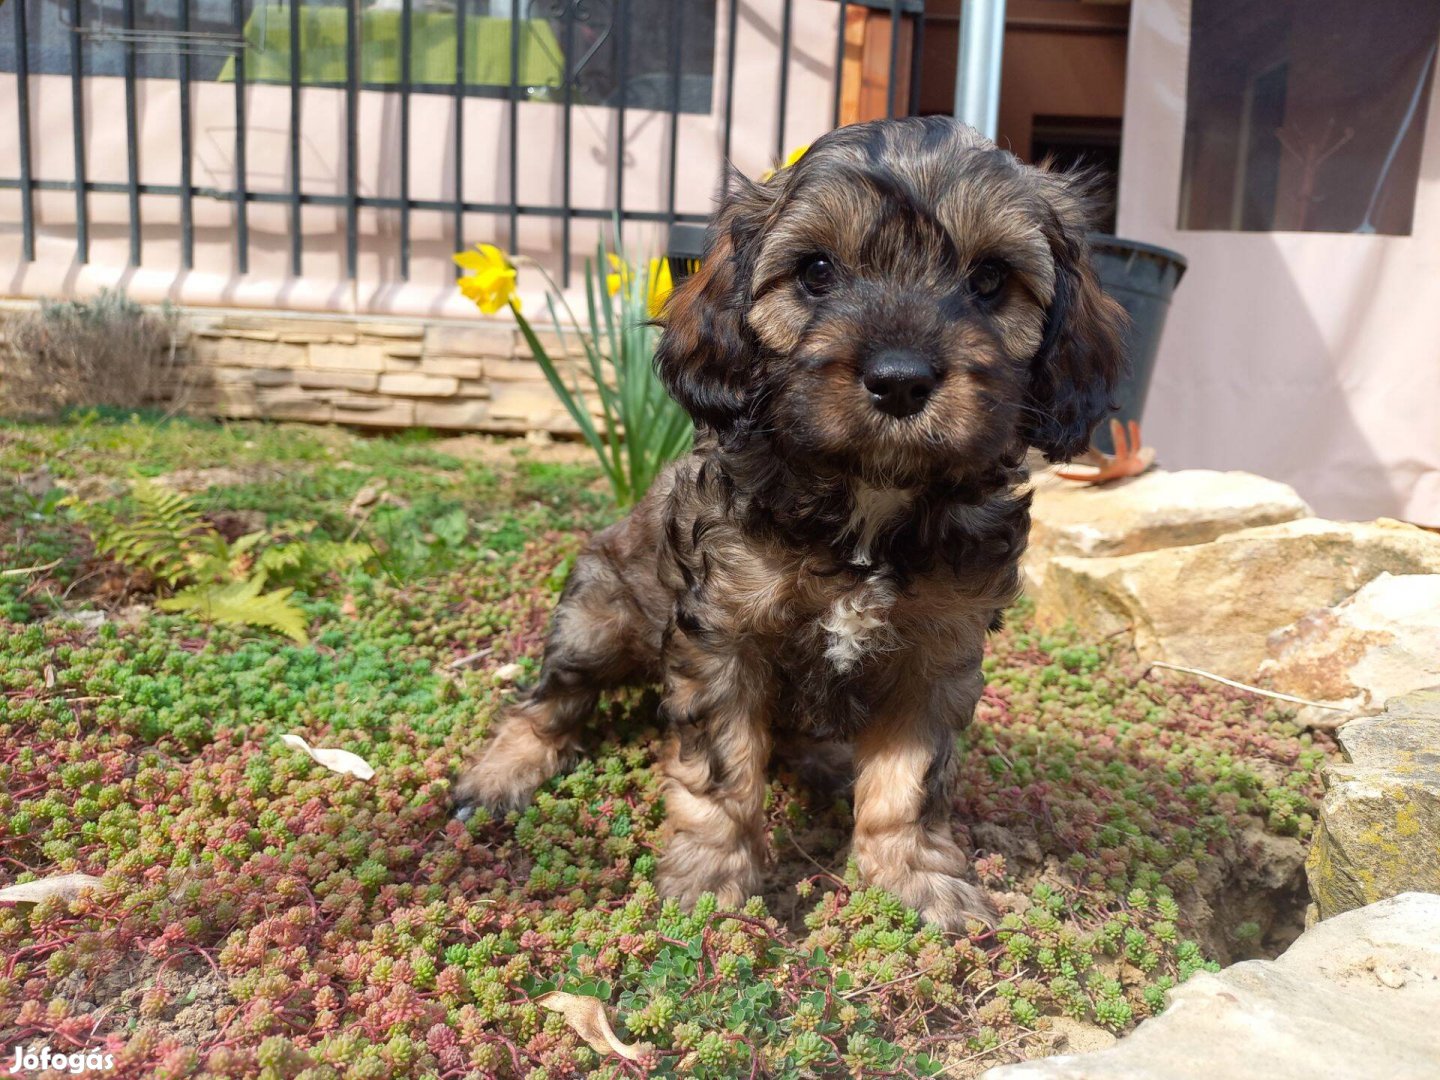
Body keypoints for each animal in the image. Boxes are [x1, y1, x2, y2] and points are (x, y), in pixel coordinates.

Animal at [454, 117, 1126, 929]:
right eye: (816, 271)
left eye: (991, 279)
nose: (900, 380)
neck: (868, 504)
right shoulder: (723, 636)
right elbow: (723, 770)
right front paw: (712, 882)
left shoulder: (938, 651)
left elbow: (909, 777)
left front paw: (913, 877)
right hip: (596, 617)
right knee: (550, 701)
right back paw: (502, 773)